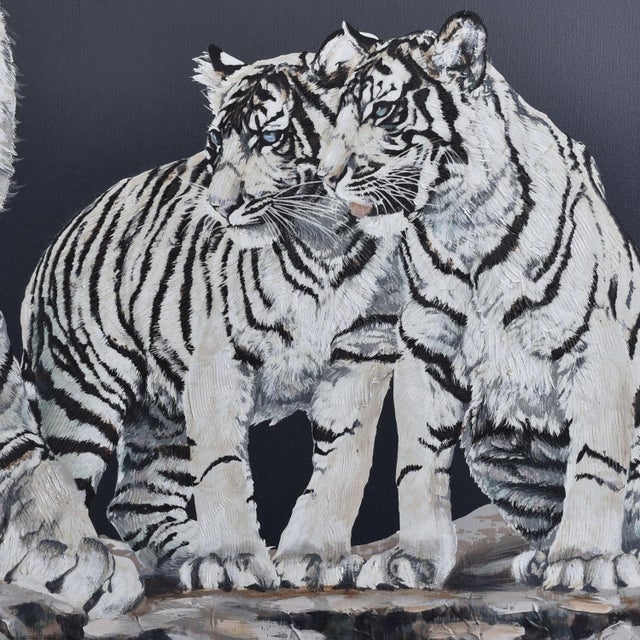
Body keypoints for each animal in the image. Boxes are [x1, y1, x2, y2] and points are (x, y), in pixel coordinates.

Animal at [21, 24, 407, 592]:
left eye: (270, 138)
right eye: (213, 144)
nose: (219, 207)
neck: (323, 245)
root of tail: (61, 234)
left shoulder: (363, 355)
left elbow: (345, 462)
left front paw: (315, 557)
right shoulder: (219, 361)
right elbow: (223, 468)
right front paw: (230, 561)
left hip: (162, 417)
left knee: (135, 501)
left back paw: (188, 552)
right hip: (79, 398)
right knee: (55, 486)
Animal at [320, 10, 640, 592]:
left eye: (383, 111)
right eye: (335, 122)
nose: (328, 178)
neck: (460, 223)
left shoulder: (595, 348)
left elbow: (596, 463)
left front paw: (584, 559)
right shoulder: (426, 350)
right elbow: (416, 465)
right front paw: (413, 560)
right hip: (498, 444)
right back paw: (540, 559)